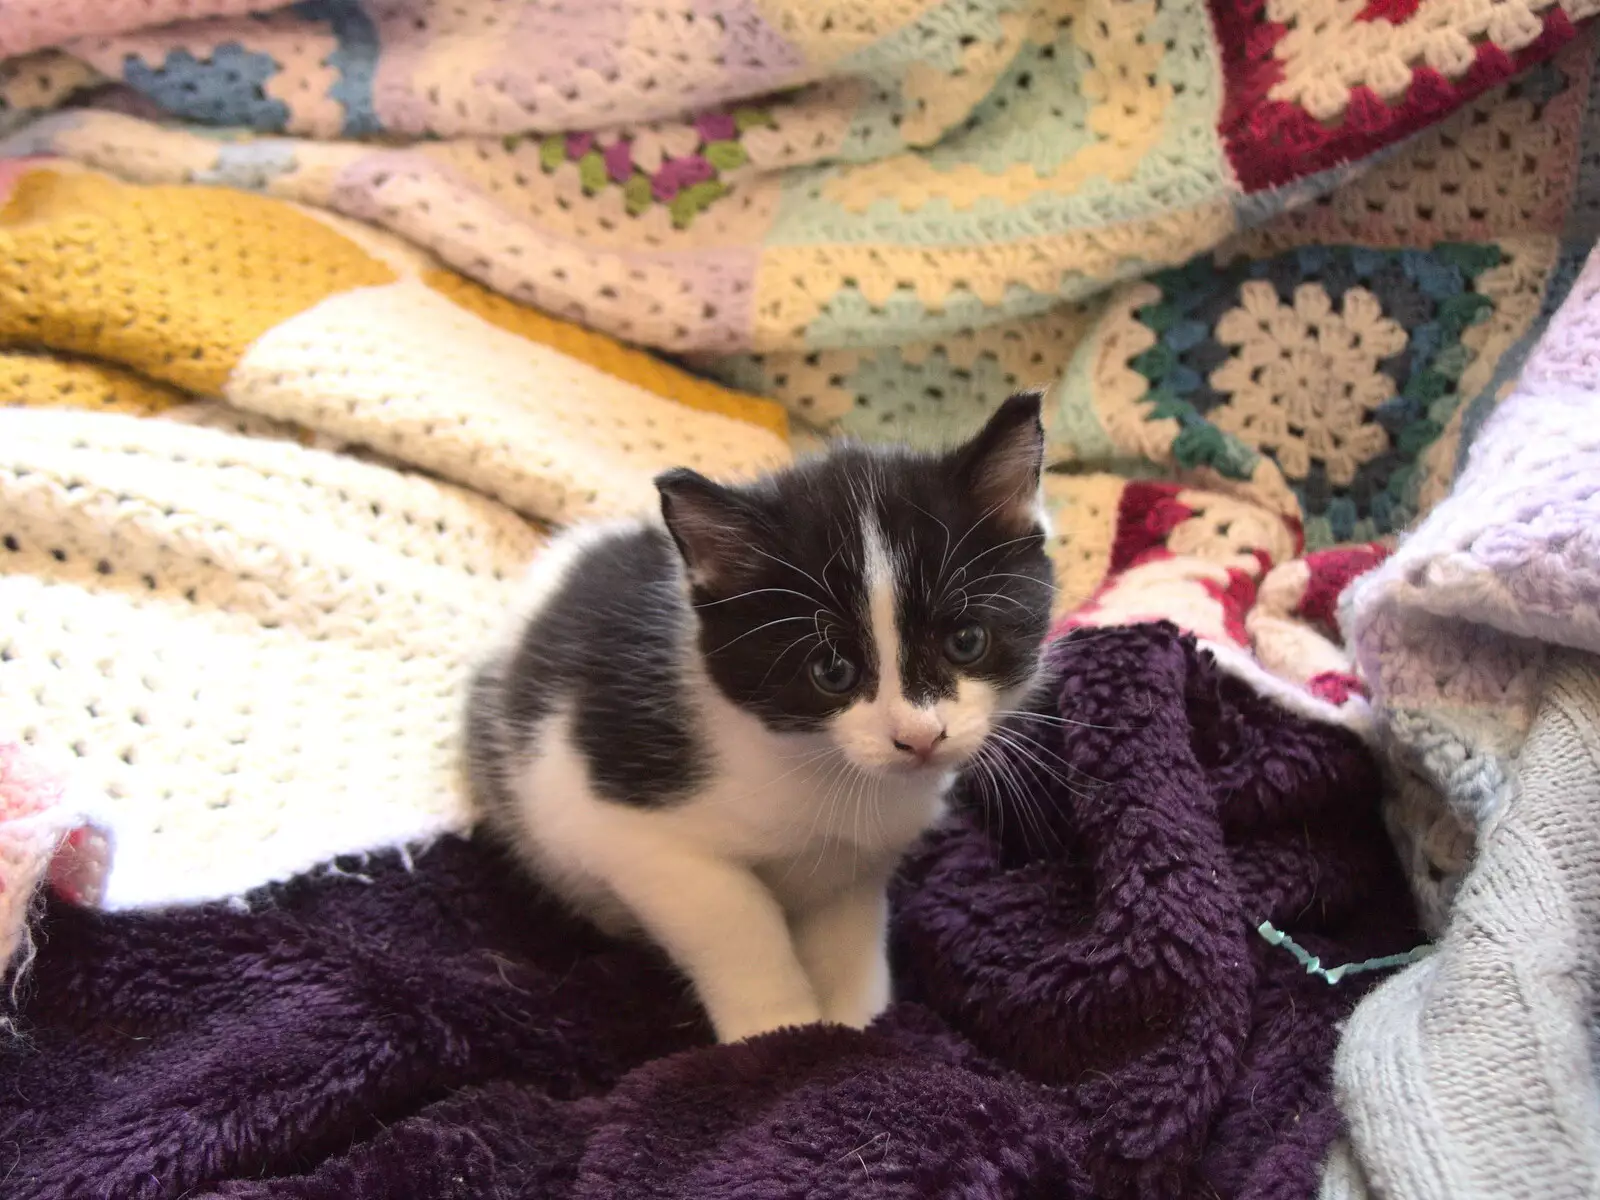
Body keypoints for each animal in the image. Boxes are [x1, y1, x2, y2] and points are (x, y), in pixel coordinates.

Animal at [467, 392, 1056, 1043]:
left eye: (967, 641)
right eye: (832, 671)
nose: (920, 736)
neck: (821, 770)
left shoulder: (857, 861)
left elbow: (848, 929)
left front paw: (856, 1023)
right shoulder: (614, 817)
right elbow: (734, 921)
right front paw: (776, 1033)